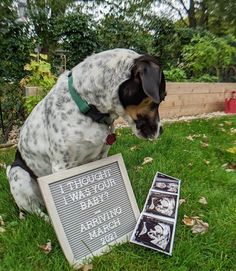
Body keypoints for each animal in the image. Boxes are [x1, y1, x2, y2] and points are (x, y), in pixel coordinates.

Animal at [6, 47, 167, 220]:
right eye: (161, 98)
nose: (162, 130)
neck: (87, 106)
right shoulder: (61, 166)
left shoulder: (101, 157)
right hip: (19, 175)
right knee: (35, 211)